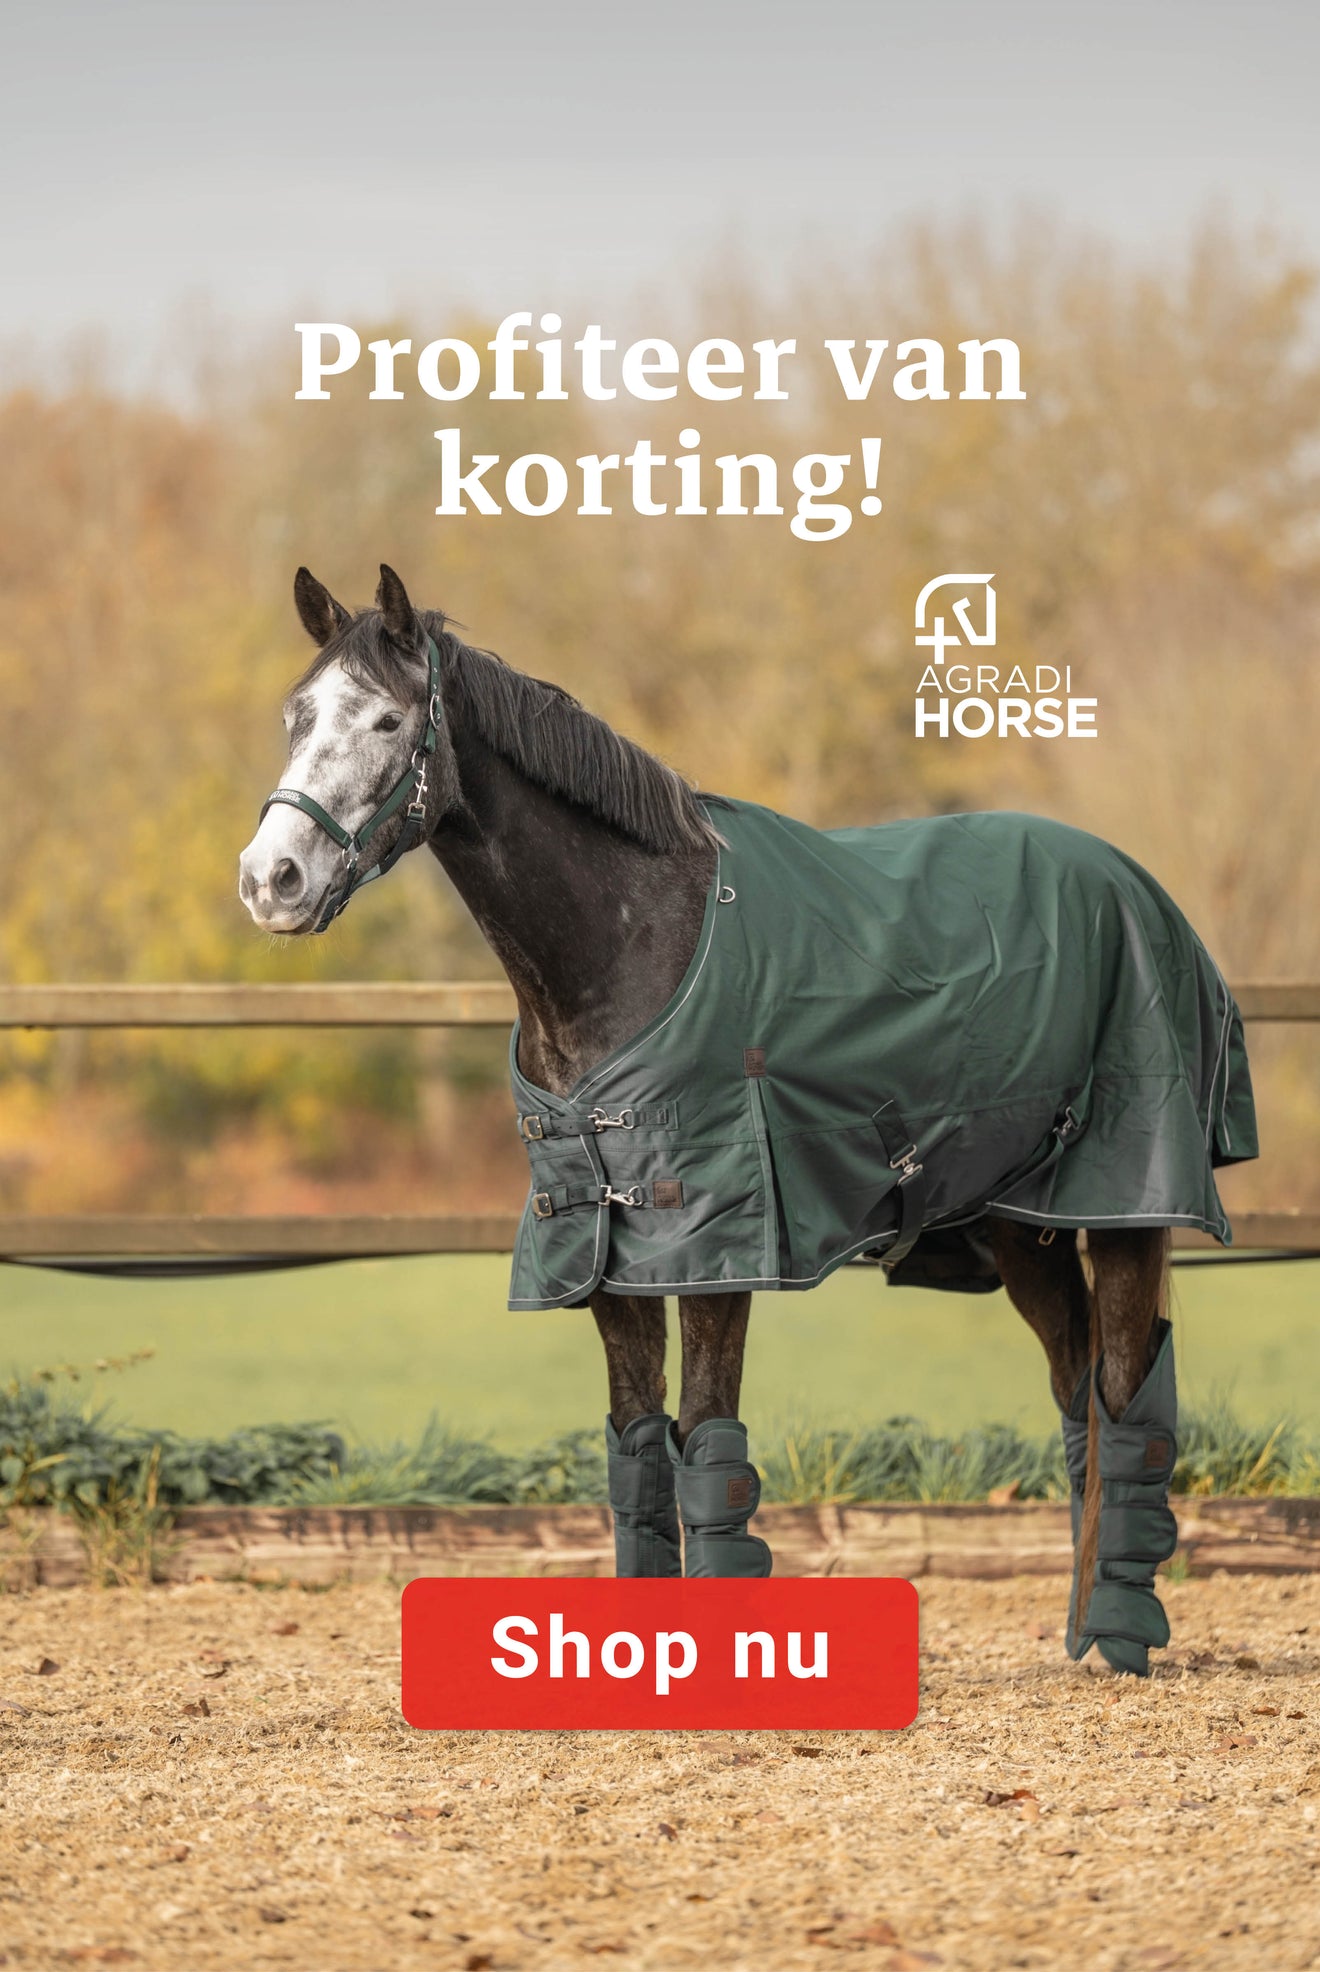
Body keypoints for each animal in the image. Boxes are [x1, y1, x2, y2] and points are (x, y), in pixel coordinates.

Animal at [238, 565, 1258, 1678]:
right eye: (293, 716)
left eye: (388, 718)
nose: (271, 881)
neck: (632, 944)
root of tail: (1136, 886)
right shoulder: (604, 1253)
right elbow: (638, 1457)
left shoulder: (717, 1244)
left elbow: (707, 1447)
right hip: (1019, 1221)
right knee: (1079, 1398)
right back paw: (1078, 1637)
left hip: (1126, 1203)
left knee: (1126, 1395)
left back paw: (1119, 1636)